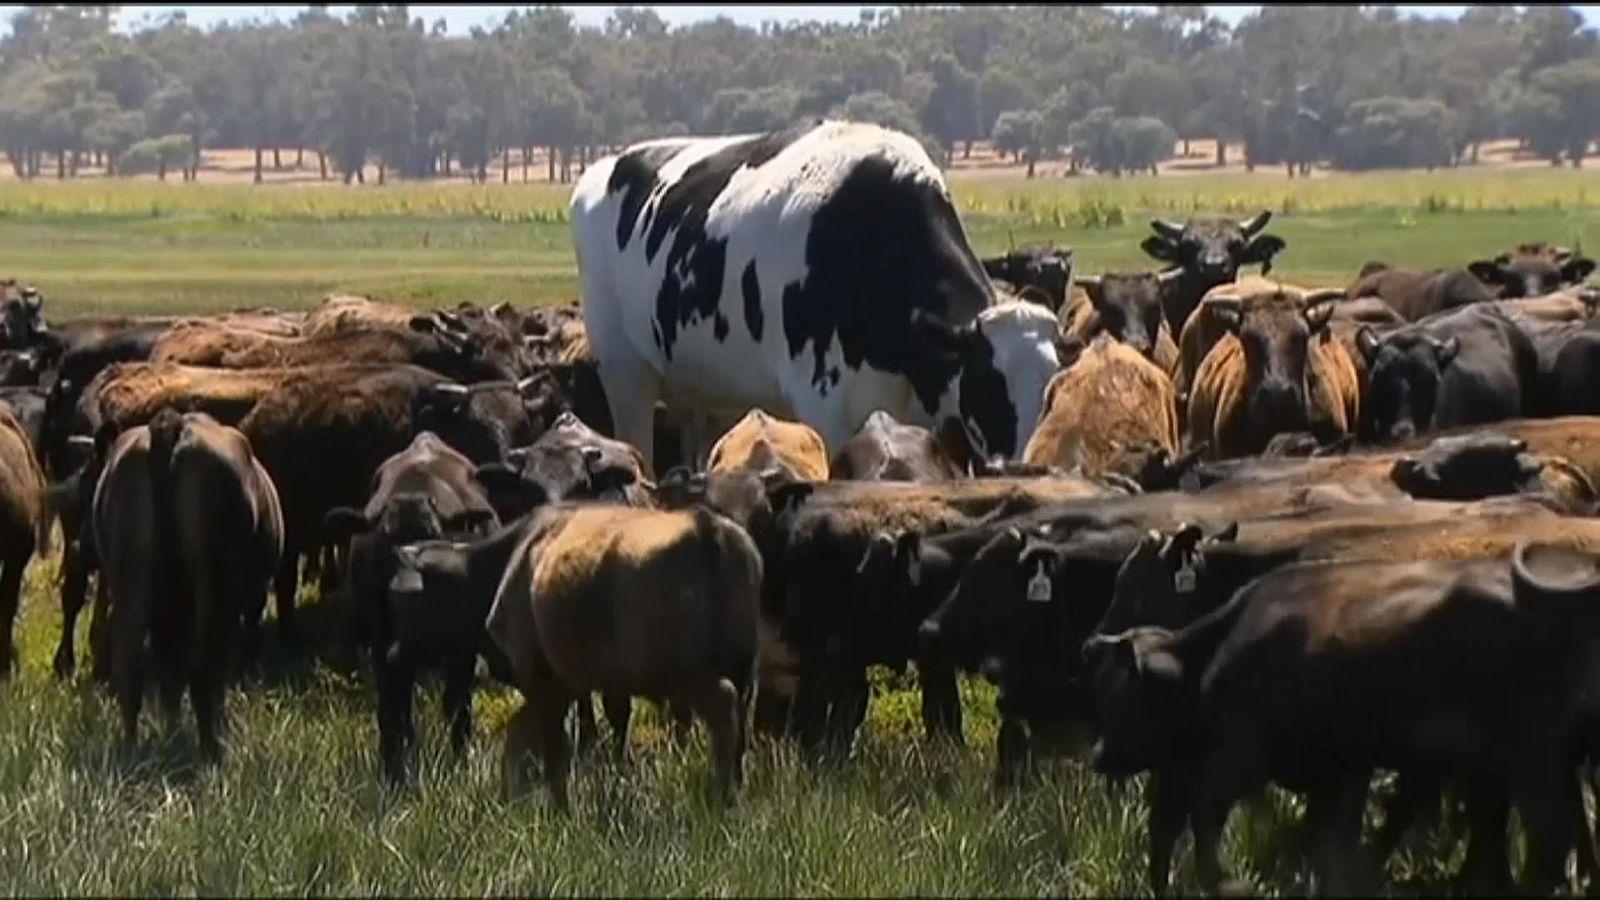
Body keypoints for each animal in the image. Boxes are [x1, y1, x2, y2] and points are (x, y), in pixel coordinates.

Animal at [92, 409, 282, 759]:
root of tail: (174, 426)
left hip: (131, 587)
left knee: (131, 666)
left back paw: (134, 747)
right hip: (213, 591)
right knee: (205, 667)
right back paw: (214, 749)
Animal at [488, 503, 763, 810]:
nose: (507, 799)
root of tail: (709, 527)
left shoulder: (546, 684)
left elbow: (554, 752)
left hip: (687, 676)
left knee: (723, 707)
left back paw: (721, 797)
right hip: (743, 674)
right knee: (740, 726)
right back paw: (735, 792)